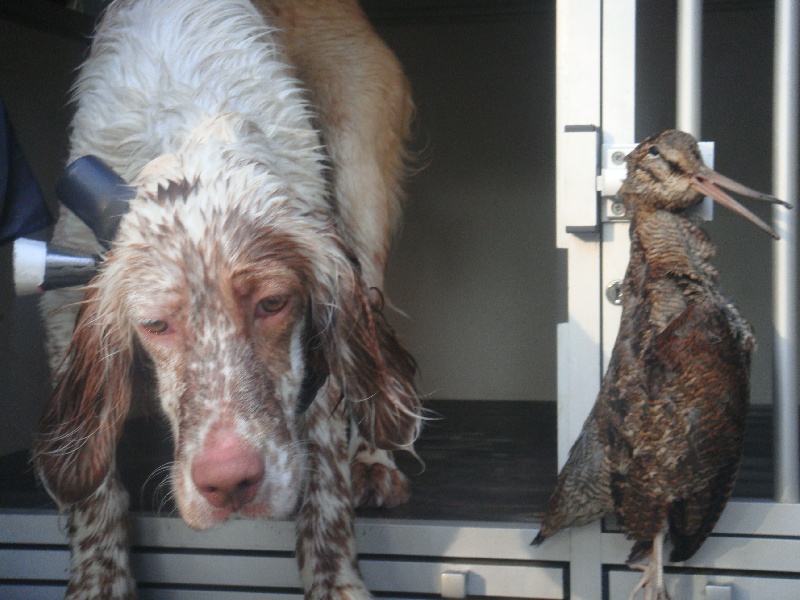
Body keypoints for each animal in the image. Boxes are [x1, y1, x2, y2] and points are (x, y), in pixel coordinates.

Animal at [34, 2, 422, 596]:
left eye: (272, 304)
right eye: (154, 324)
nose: (229, 482)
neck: (189, 121)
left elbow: (326, 480)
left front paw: (336, 578)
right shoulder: (63, 295)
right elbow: (94, 492)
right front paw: (98, 580)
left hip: (361, 183)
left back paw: (374, 460)